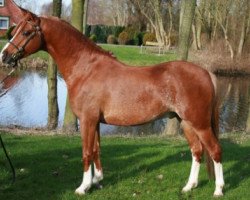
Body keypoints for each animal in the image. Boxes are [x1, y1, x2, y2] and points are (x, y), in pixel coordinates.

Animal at [0, 8, 225, 196]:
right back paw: (189, 186)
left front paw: (83, 187)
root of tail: (206, 72)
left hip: (200, 123)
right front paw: (96, 181)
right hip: (185, 122)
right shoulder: (96, 121)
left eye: (26, 32)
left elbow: (86, 152)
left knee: (214, 150)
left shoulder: (88, 120)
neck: (85, 69)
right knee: (197, 151)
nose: (4, 56)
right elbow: (96, 150)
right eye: (16, 29)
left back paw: (218, 190)